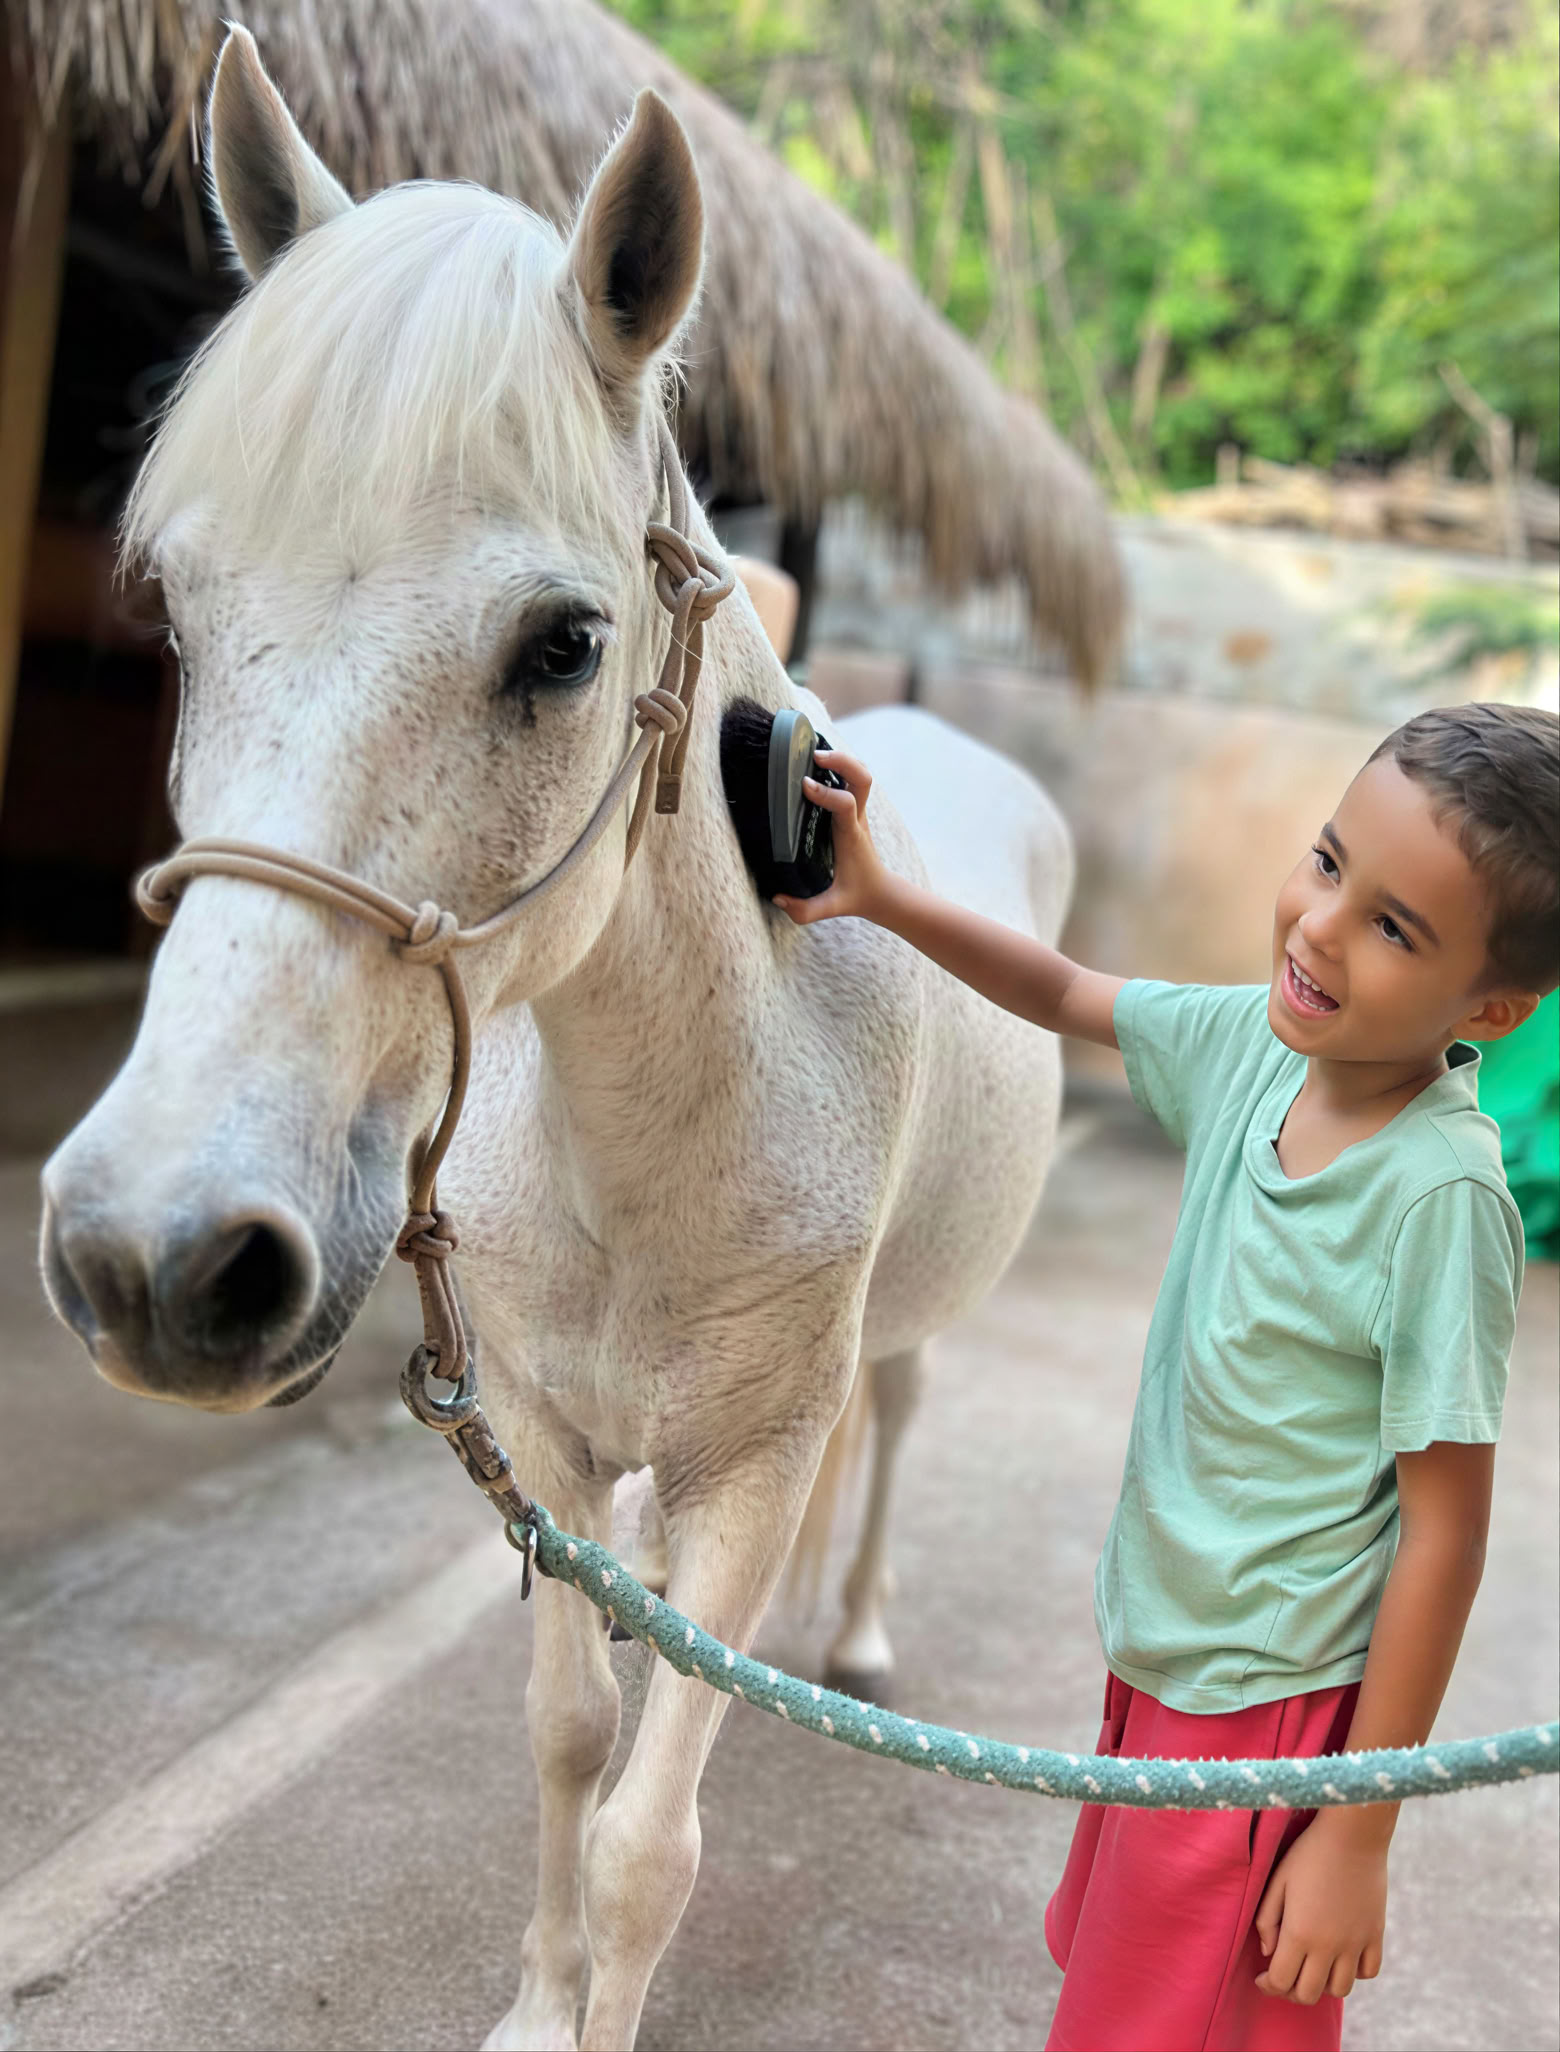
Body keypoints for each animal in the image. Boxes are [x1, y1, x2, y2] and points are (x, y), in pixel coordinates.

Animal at [39, 30, 1072, 2049]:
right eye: (177, 610)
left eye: (567, 645)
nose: (157, 1255)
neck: (661, 1132)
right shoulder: (544, 1432)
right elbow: (567, 1738)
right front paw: (538, 2000)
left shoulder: (751, 1463)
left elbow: (646, 1840)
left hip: (901, 1339)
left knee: (894, 1423)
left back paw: (856, 1628)